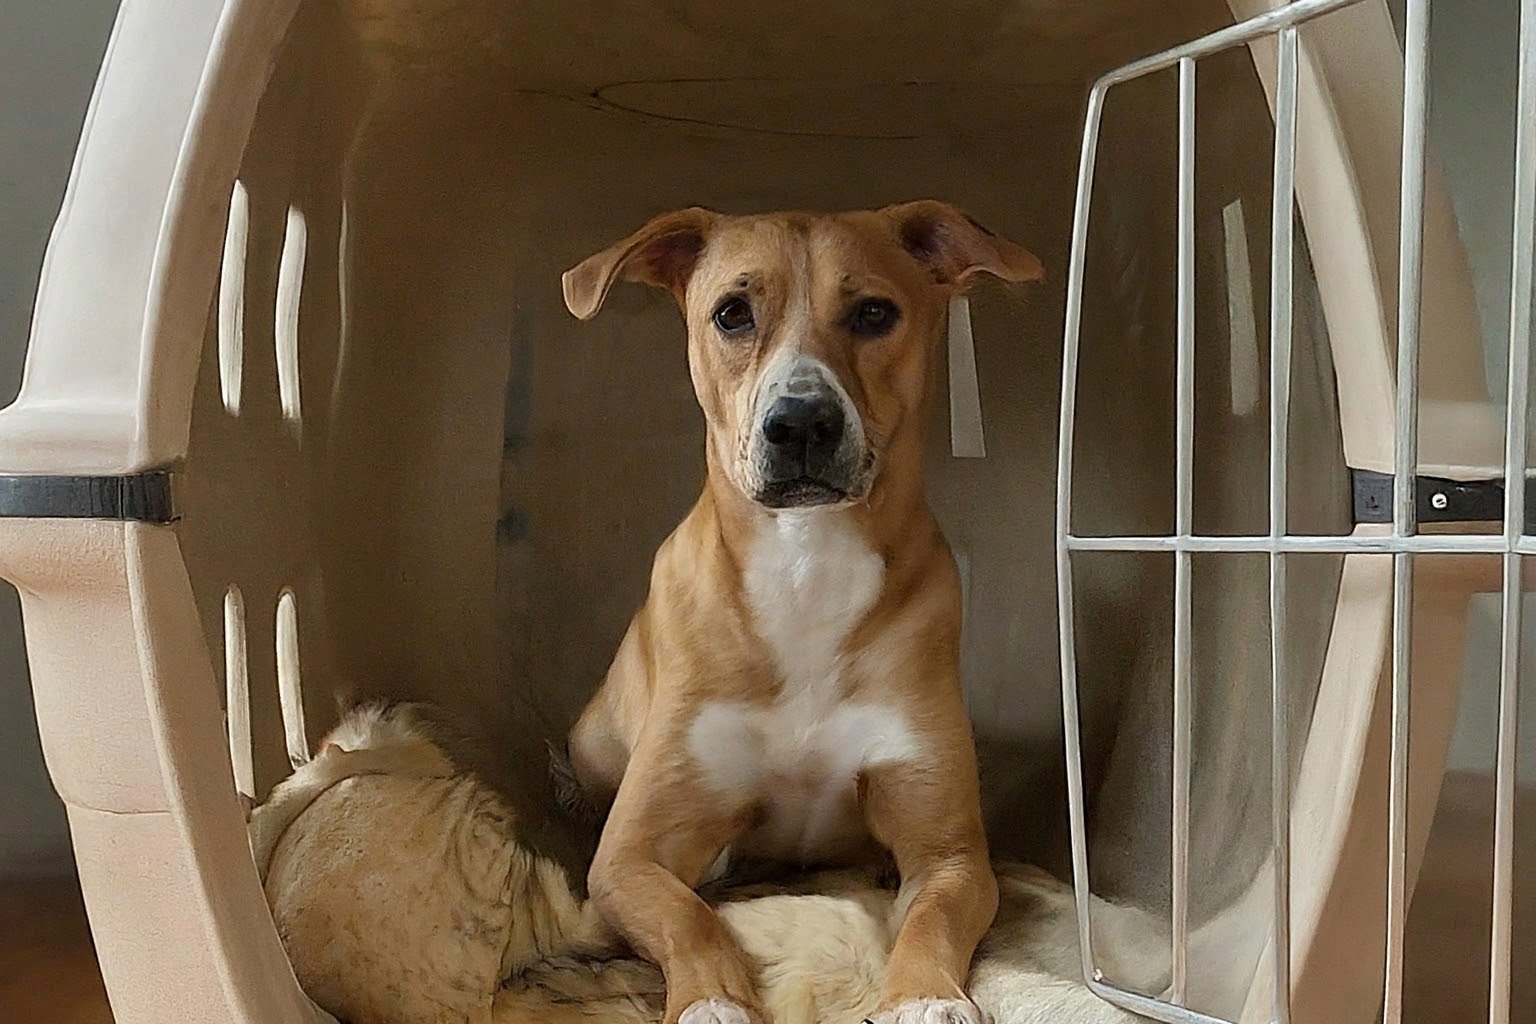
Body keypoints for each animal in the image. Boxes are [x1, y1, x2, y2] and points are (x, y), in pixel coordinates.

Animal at [559, 202, 1038, 1024]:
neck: (807, 568)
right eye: (732, 313)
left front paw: (925, 996)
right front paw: (712, 1001)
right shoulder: (628, 854)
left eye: (874, 312)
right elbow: (685, 915)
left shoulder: (951, 850)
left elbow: (935, 914)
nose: (801, 423)